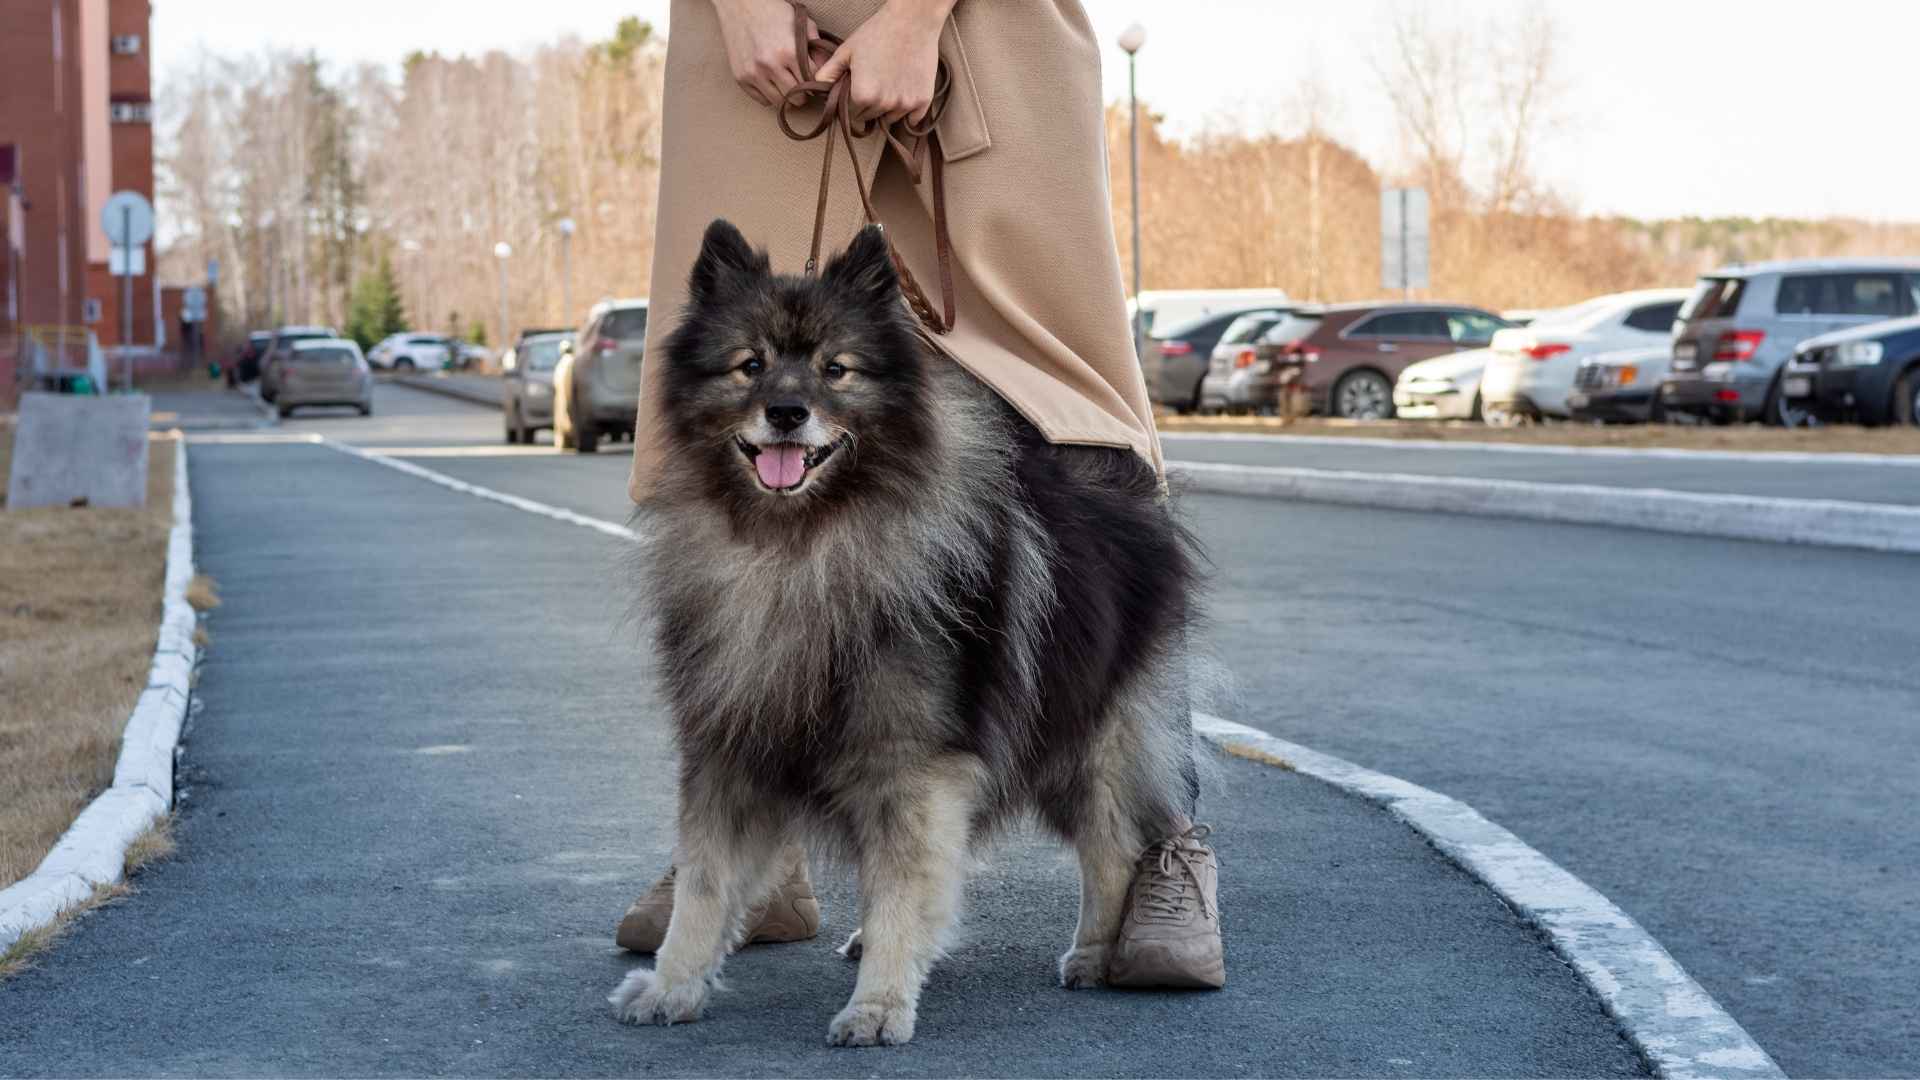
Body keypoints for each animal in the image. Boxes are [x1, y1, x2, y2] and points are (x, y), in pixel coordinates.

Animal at [606, 220, 1198, 1045]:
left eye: (836, 370)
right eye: (750, 365)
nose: (786, 412)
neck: (800, 548)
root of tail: (1123, 493)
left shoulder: (910, 761)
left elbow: (900, 889)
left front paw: (879, 1005)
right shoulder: (730, 748)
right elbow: (703, 886)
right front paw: (672, 985)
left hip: (1089, 739)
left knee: (1112, 850)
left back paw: (1093, 954)